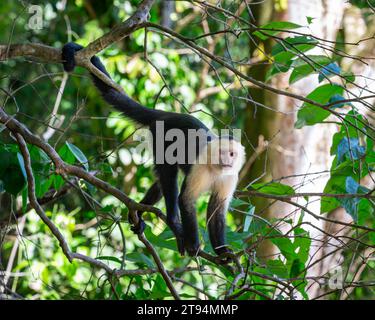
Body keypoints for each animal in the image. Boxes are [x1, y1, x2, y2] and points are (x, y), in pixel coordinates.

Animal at [62, 42, 247, 258]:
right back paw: (174, 223)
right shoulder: (200, 167)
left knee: (160, 184)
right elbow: (185, 200)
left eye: (232, 154)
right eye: (222, 153)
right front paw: (193, 244)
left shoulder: (231, 176)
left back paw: (138, 212)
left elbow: (216, 211)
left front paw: (222, 251)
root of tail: (166, 114)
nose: (227, 160)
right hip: (161, 137)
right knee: (169, 177)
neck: (216, 169)